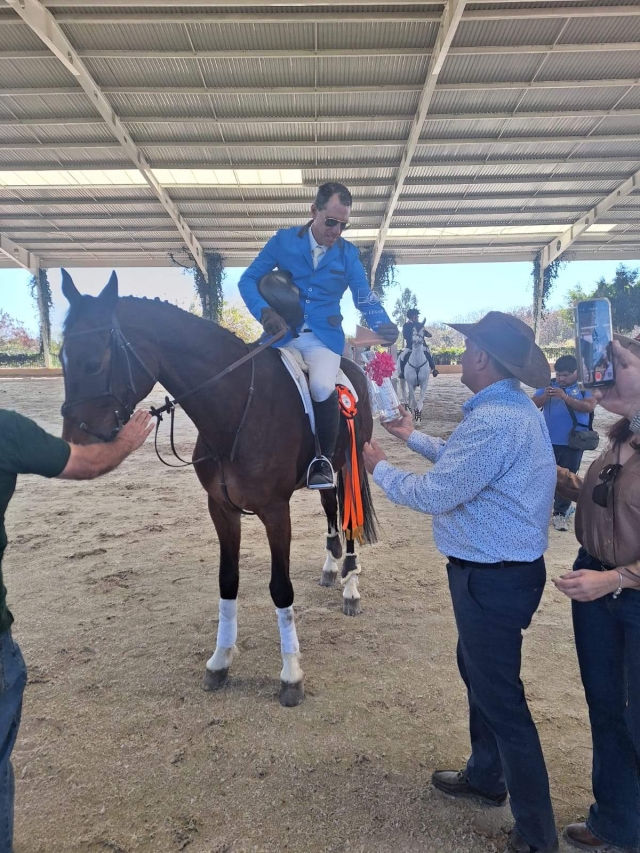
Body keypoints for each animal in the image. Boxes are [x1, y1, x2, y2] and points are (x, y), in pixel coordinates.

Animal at [57, 272, 378, 704]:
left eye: (95, 362)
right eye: (62, 357)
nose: (74, 445)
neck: (236, 407)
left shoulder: (276, 512)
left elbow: (281, 589)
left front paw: (291, 674)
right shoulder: (221, 509)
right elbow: (228, 582)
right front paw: (220, 660)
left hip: (348, 466)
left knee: (347, 520)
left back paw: (350, 586)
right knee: (330, 509)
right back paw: (331, 568)